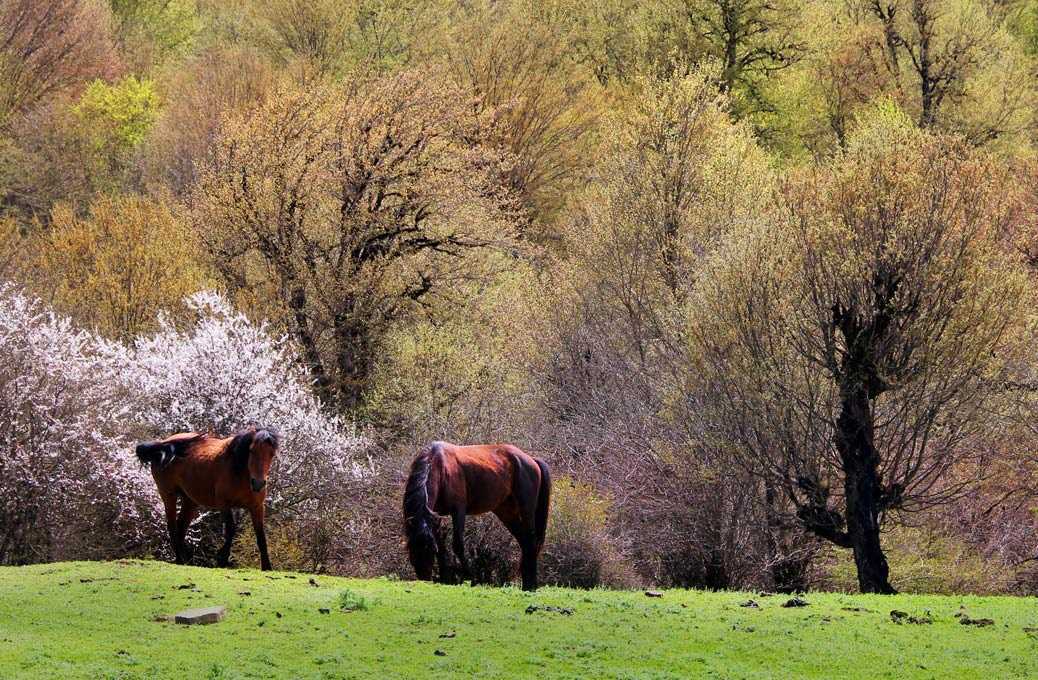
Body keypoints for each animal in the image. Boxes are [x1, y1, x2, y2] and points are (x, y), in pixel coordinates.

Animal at [134, 431, 280, 568]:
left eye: (272, 454)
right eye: (251, 450)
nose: (258, 484)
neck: (238, 471)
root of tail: (165, 444)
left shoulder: (257, 507)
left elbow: (261, 536)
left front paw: (267, 567)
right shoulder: (224, 504)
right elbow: (230, 530)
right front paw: (222, 559)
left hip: (190, 501)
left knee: (181, 528)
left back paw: (185, 560)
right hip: (168, 495)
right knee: (172, 527)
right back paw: (180, 559)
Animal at [402, 442, 552, 589]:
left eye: (430, 551)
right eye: (412, 551)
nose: (424, 580)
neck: (441, 466)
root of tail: (531, 459)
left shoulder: (458, 511)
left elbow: (457, 545)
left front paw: (470, 577)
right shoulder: (435, 516)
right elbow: (442, 546)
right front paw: (445, 578)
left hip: (527, 510)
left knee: (531, 541)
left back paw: (531, 585)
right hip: (507, 513)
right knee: (524, 541)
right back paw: (527, 583)